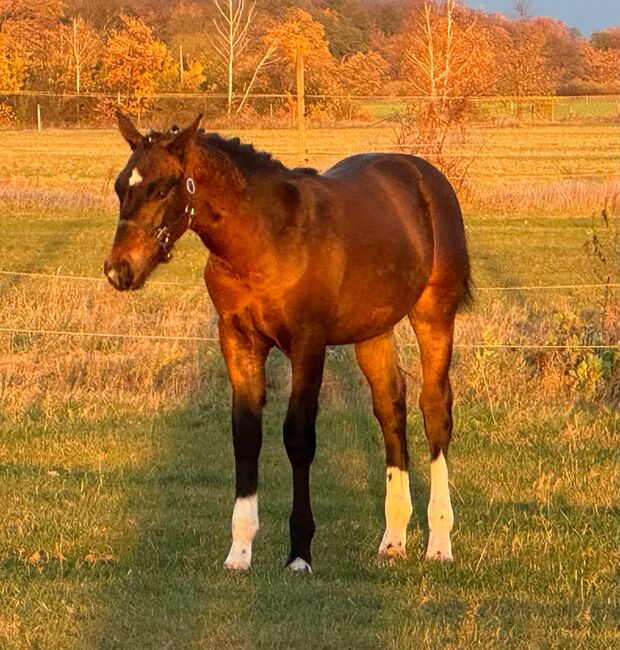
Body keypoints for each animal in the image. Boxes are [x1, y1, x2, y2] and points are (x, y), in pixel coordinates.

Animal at [104, 112, 472, 572]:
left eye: (162, 187)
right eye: (121, 186)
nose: (119, 270)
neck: (268, 240)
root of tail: (427, 176)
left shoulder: (307, 344)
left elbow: (299, 437)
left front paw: (299, 551)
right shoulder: (238, 340)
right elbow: (246, 435)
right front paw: (240, 551)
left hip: (433, 315)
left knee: (435, 409)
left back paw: (439, 541)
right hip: (373, 332)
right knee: (391, 407)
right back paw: (393, 539)